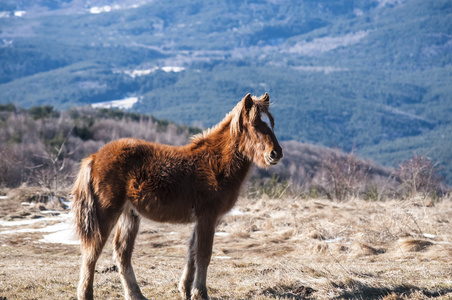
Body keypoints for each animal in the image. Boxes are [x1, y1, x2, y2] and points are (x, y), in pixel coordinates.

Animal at [73, 92, 282, 298]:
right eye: (254, 125)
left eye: (272, 123)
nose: (276, 154)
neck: (215, 164)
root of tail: (94, 157)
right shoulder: (208, 217)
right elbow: (203, 254)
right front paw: (200, 293)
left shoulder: (202, 219)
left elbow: (192, 253)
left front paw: (186, 289)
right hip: (106, 213)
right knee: (92, 252)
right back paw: (87, 294)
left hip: (129, 214)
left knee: (122, 252)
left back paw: (136, 294)